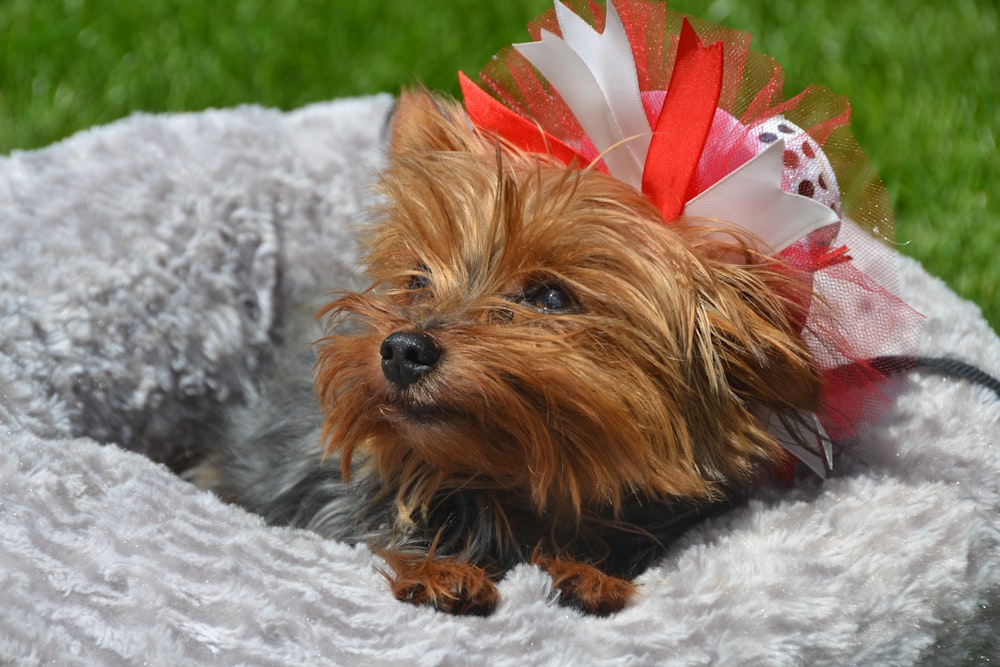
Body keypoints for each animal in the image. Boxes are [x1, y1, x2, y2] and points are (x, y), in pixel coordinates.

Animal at [191, 88, 824, 616]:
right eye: (416, 280)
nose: (402, 349)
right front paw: (437, 571)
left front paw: (590, 575)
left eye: (550, 297)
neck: (510, 484)